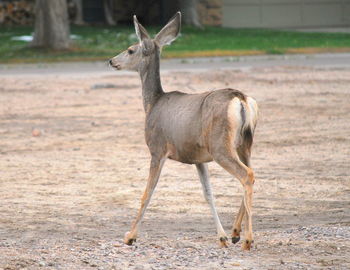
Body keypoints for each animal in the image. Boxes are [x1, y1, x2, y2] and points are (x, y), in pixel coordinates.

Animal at [108, 11, 258, 250]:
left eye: (131, 49)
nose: (112, 60)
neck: (153, 103)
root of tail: (241, 99)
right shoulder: (197, 157)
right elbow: (208, 194)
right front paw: (222, 237)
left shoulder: (157, 149)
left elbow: (148, 192)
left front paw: (130, 236)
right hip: (245, 144)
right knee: (252, 173)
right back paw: (235, 233)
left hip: (220, 146)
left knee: (247, 175)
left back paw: (248, 240)